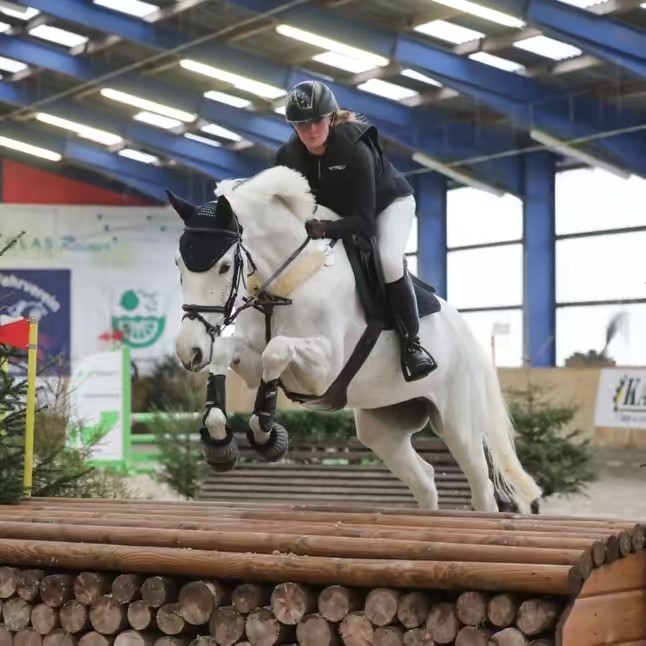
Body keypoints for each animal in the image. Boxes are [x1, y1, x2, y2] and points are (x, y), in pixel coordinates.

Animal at [168, 165, 541, 512]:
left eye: (224, 266)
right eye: (178, 264)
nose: (189, 351)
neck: (287, 283)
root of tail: (471, 340)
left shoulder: (322, 369)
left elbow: (277, 350)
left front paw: (265, 434)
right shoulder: (250, 362)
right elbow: (227, 352)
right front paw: (219, 440)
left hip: (458, 424)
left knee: (482, 487)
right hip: (383, 427)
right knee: (424, 479)